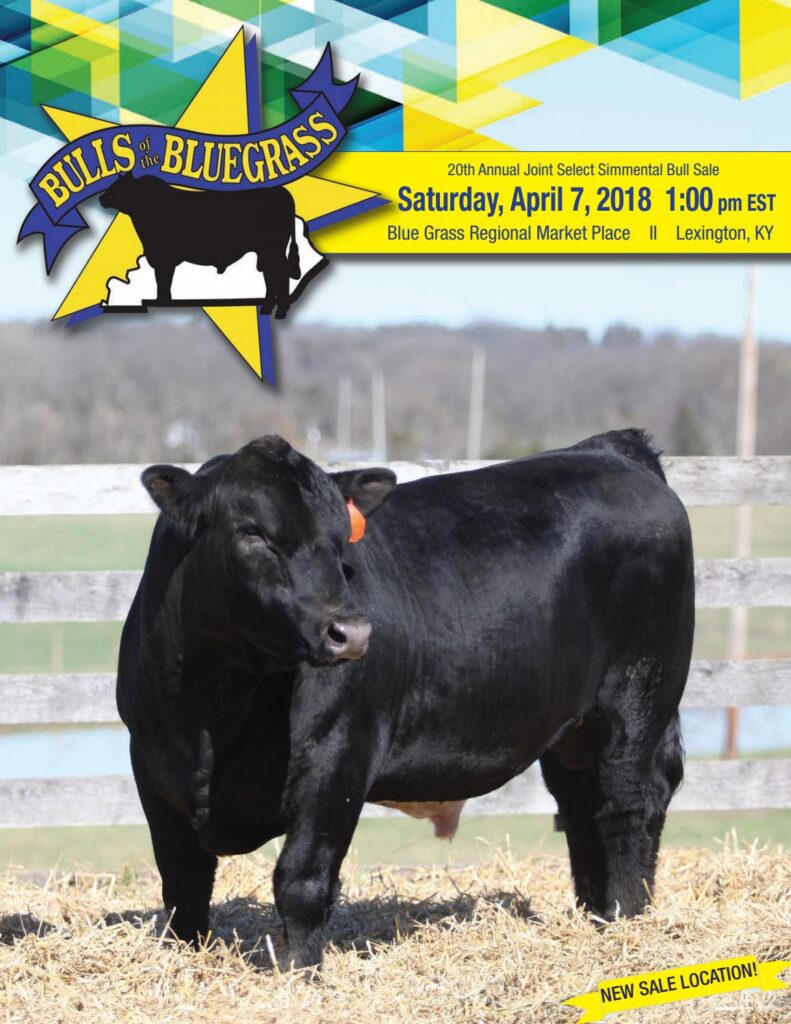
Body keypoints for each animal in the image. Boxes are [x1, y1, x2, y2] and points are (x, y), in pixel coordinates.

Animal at [100, 174, 300, 318]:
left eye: (119, 187)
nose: (102, 198)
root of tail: (282, 192)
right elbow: (163, 281)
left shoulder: (163, 257)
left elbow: (163, 281)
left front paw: (162, 302)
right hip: (267, 252)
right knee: (271, 276)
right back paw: (266, 308)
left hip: (273, 250)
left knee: (279, 275)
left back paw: (280, 311)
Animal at [116, 429, 694, 969]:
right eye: (253, 531)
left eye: (341, 540)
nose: (350, 632)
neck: (214, 708)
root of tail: (609, 450)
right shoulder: (152, 763)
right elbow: (183, 881)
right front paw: (186, 956)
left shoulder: (338, 756)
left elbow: (301, 881)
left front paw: (301, 973)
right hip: (571, 728)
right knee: (581, 806)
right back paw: (594, 914)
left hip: (637, 697)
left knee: (626, 806)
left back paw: (625, 921)